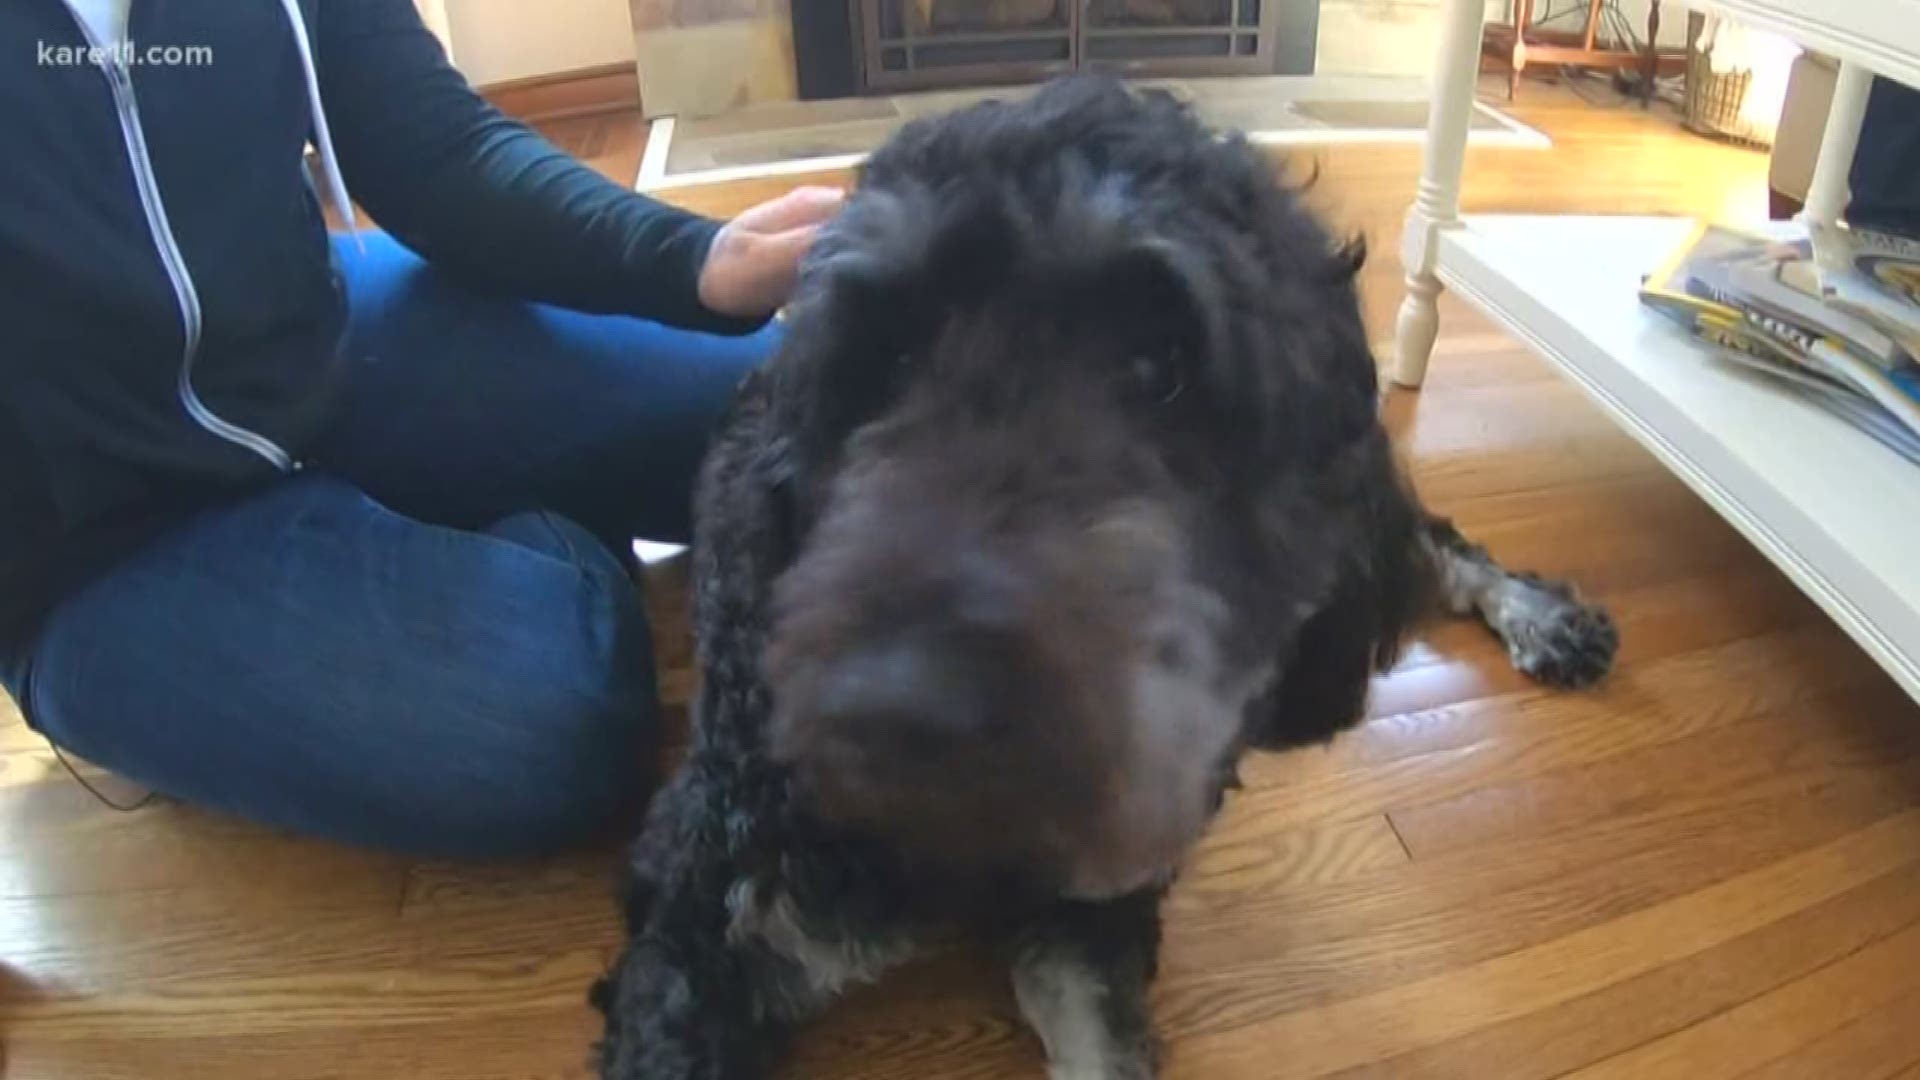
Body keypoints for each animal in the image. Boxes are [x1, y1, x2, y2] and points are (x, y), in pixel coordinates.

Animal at [591, 77, 1612, 1076]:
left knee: (1426, 542)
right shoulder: (700, 923)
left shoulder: (1093, 911)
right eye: (887, 358)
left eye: (1161, 365)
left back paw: (1542, 617)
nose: (901, 711)